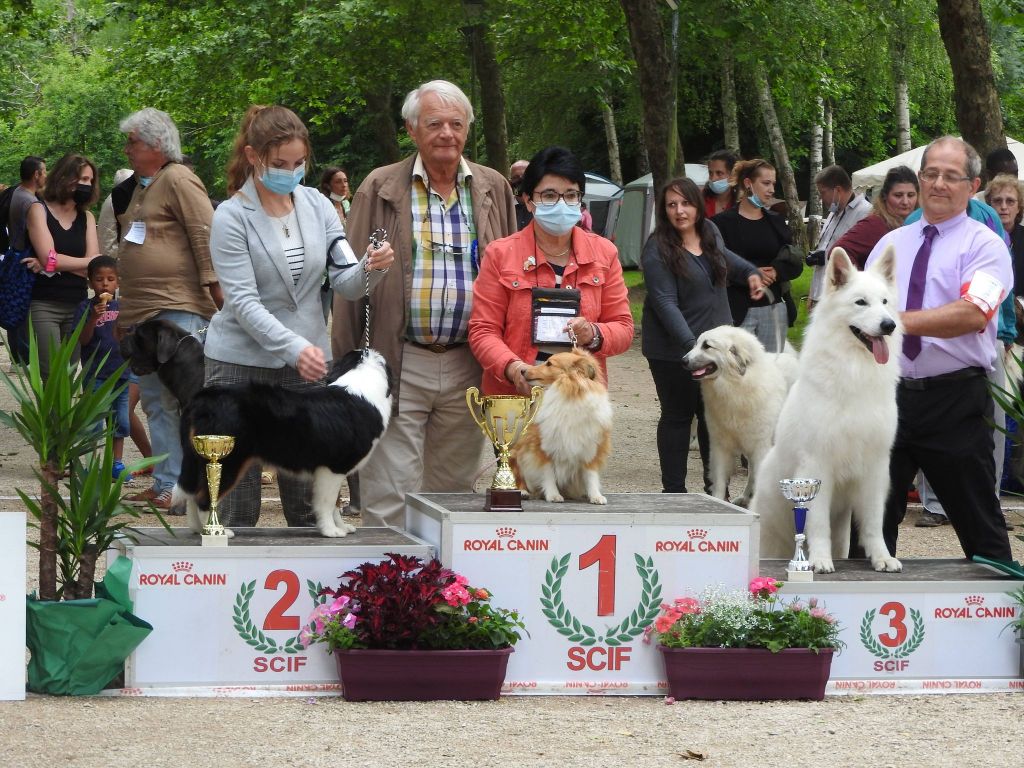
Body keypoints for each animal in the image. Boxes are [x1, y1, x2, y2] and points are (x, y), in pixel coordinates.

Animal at [684, 327, 802, 507]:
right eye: (696, 344)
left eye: (707, 346)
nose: (683, 360)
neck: (736, 385)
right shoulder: (721, 446)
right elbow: (720, 481)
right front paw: (719, 501)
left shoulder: (761, 446)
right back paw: (745, 497)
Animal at [753, 246, 905, 573]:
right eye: (861, 302)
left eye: (885, 302)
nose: (889, 325)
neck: (855, 372)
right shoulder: (817, 464)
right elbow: (817, 523)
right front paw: (819, 561)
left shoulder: (875, 468)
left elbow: (873, 522)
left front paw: (882, 557)